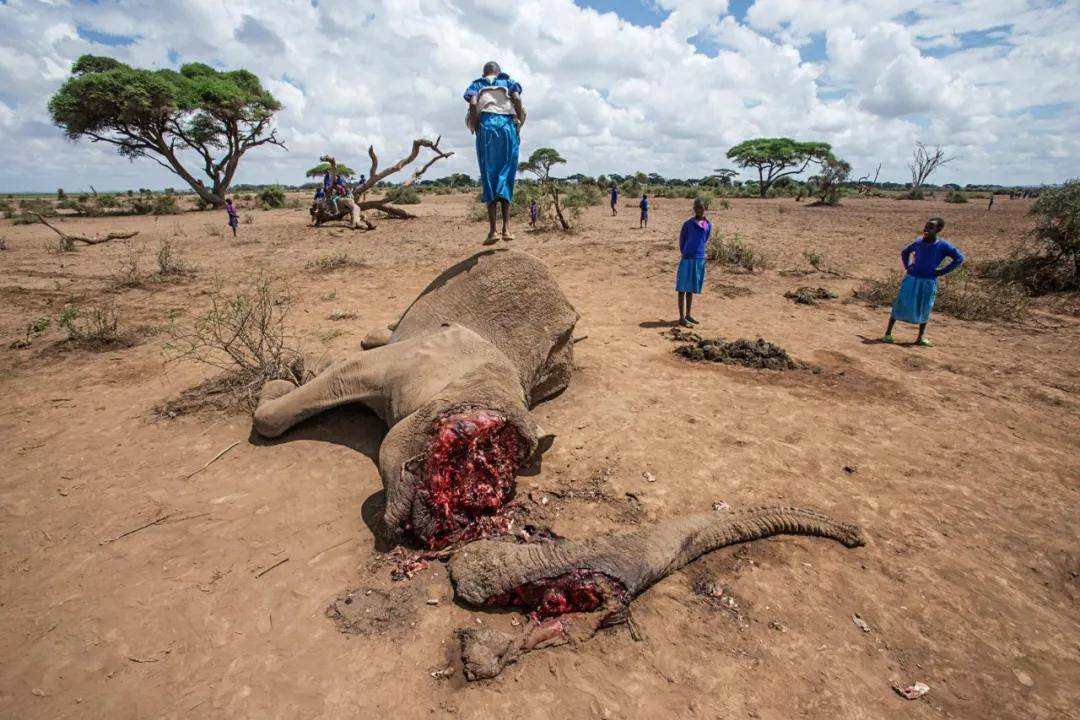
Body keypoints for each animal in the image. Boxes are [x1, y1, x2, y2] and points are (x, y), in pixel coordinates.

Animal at [251, 250, 578, 548]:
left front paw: (300, 371)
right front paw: (283, 382)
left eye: (508, 476)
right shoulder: (408, 362)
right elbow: (341, 373)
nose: (466, 516)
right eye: (464, 446)